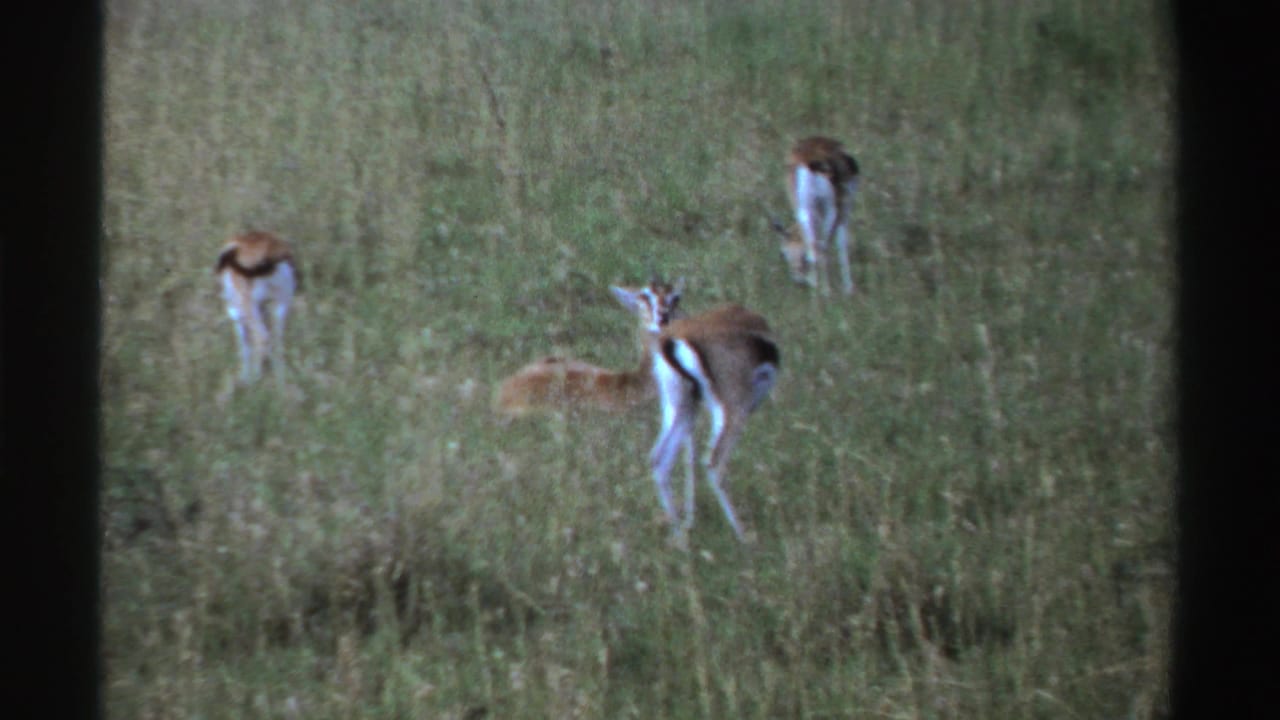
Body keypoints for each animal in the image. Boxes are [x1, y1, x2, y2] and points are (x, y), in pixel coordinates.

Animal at [215, 231, 298, 384]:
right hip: (280, 305)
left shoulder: (234, 312)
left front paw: (244, 378)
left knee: (262, 337)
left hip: (248, 306)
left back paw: (255, 380)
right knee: (277, 341)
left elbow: (244, 344)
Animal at [613, 286, 780, 543]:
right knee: (714, 463)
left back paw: (680, 538)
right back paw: (744, 536)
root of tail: (675, 340)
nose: (659, 320)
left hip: (677, 406)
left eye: (673, 299)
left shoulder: (691, 409)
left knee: (659, 459)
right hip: (731, 410)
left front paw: (690, 520)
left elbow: (687, 455)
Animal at [785, 136, 861, 294]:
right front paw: (848, 288)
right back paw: (826, 291)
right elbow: (841, 242)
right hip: (831, 210)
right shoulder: (844, 210)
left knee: (814, 247)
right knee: (822, 246)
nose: (797, 279)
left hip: (805, 210)